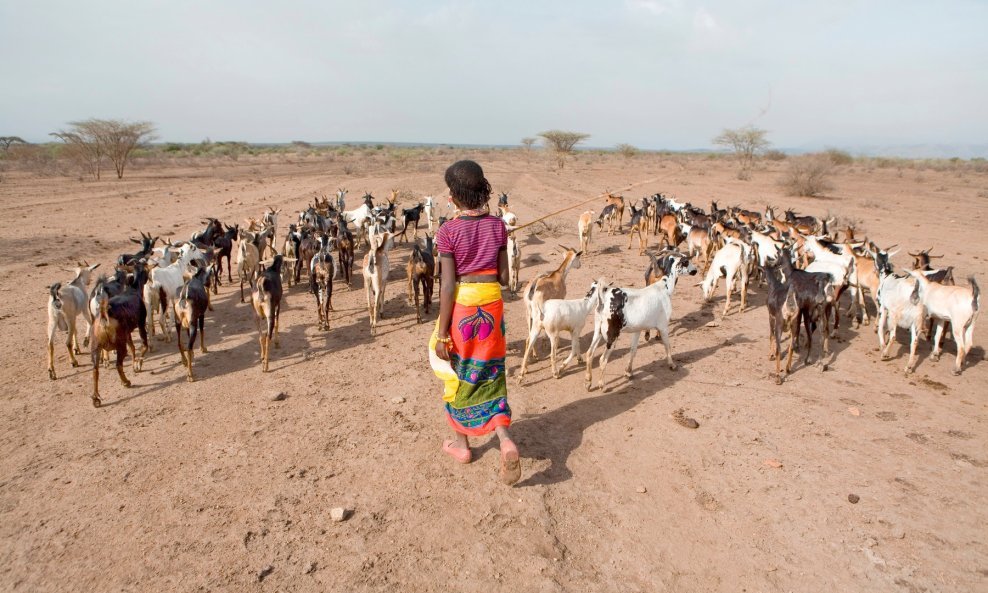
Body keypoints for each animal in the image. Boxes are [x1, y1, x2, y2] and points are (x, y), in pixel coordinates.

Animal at [584, 252, 700, 390]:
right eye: (686, 261)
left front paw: (628, 372)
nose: (695, 270)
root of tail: (604, 297)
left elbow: (633, 350)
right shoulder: (663, 326)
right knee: (602, 359)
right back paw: (602, 385)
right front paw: (672, 365)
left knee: (589, 353)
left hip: (598, 330)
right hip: (612, 334)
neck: (664, 287)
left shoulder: (637, 330)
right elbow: (667, 345)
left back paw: (588, 382)